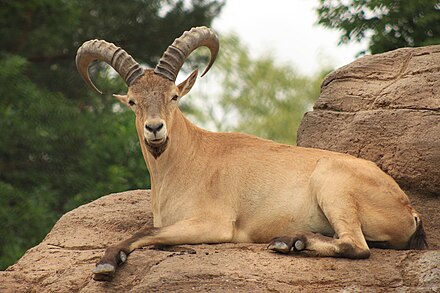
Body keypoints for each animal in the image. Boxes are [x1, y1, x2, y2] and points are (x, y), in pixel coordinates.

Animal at [75, 27, 426, 280]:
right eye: (133, 101)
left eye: (174, 96)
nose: (155, 128)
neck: (186, 161)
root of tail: (408, 209)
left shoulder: (213, 224)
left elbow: (146, 231)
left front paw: (106, 263)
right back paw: (291, 240)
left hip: (333, 184)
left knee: (357, 245)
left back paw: (289, 242)